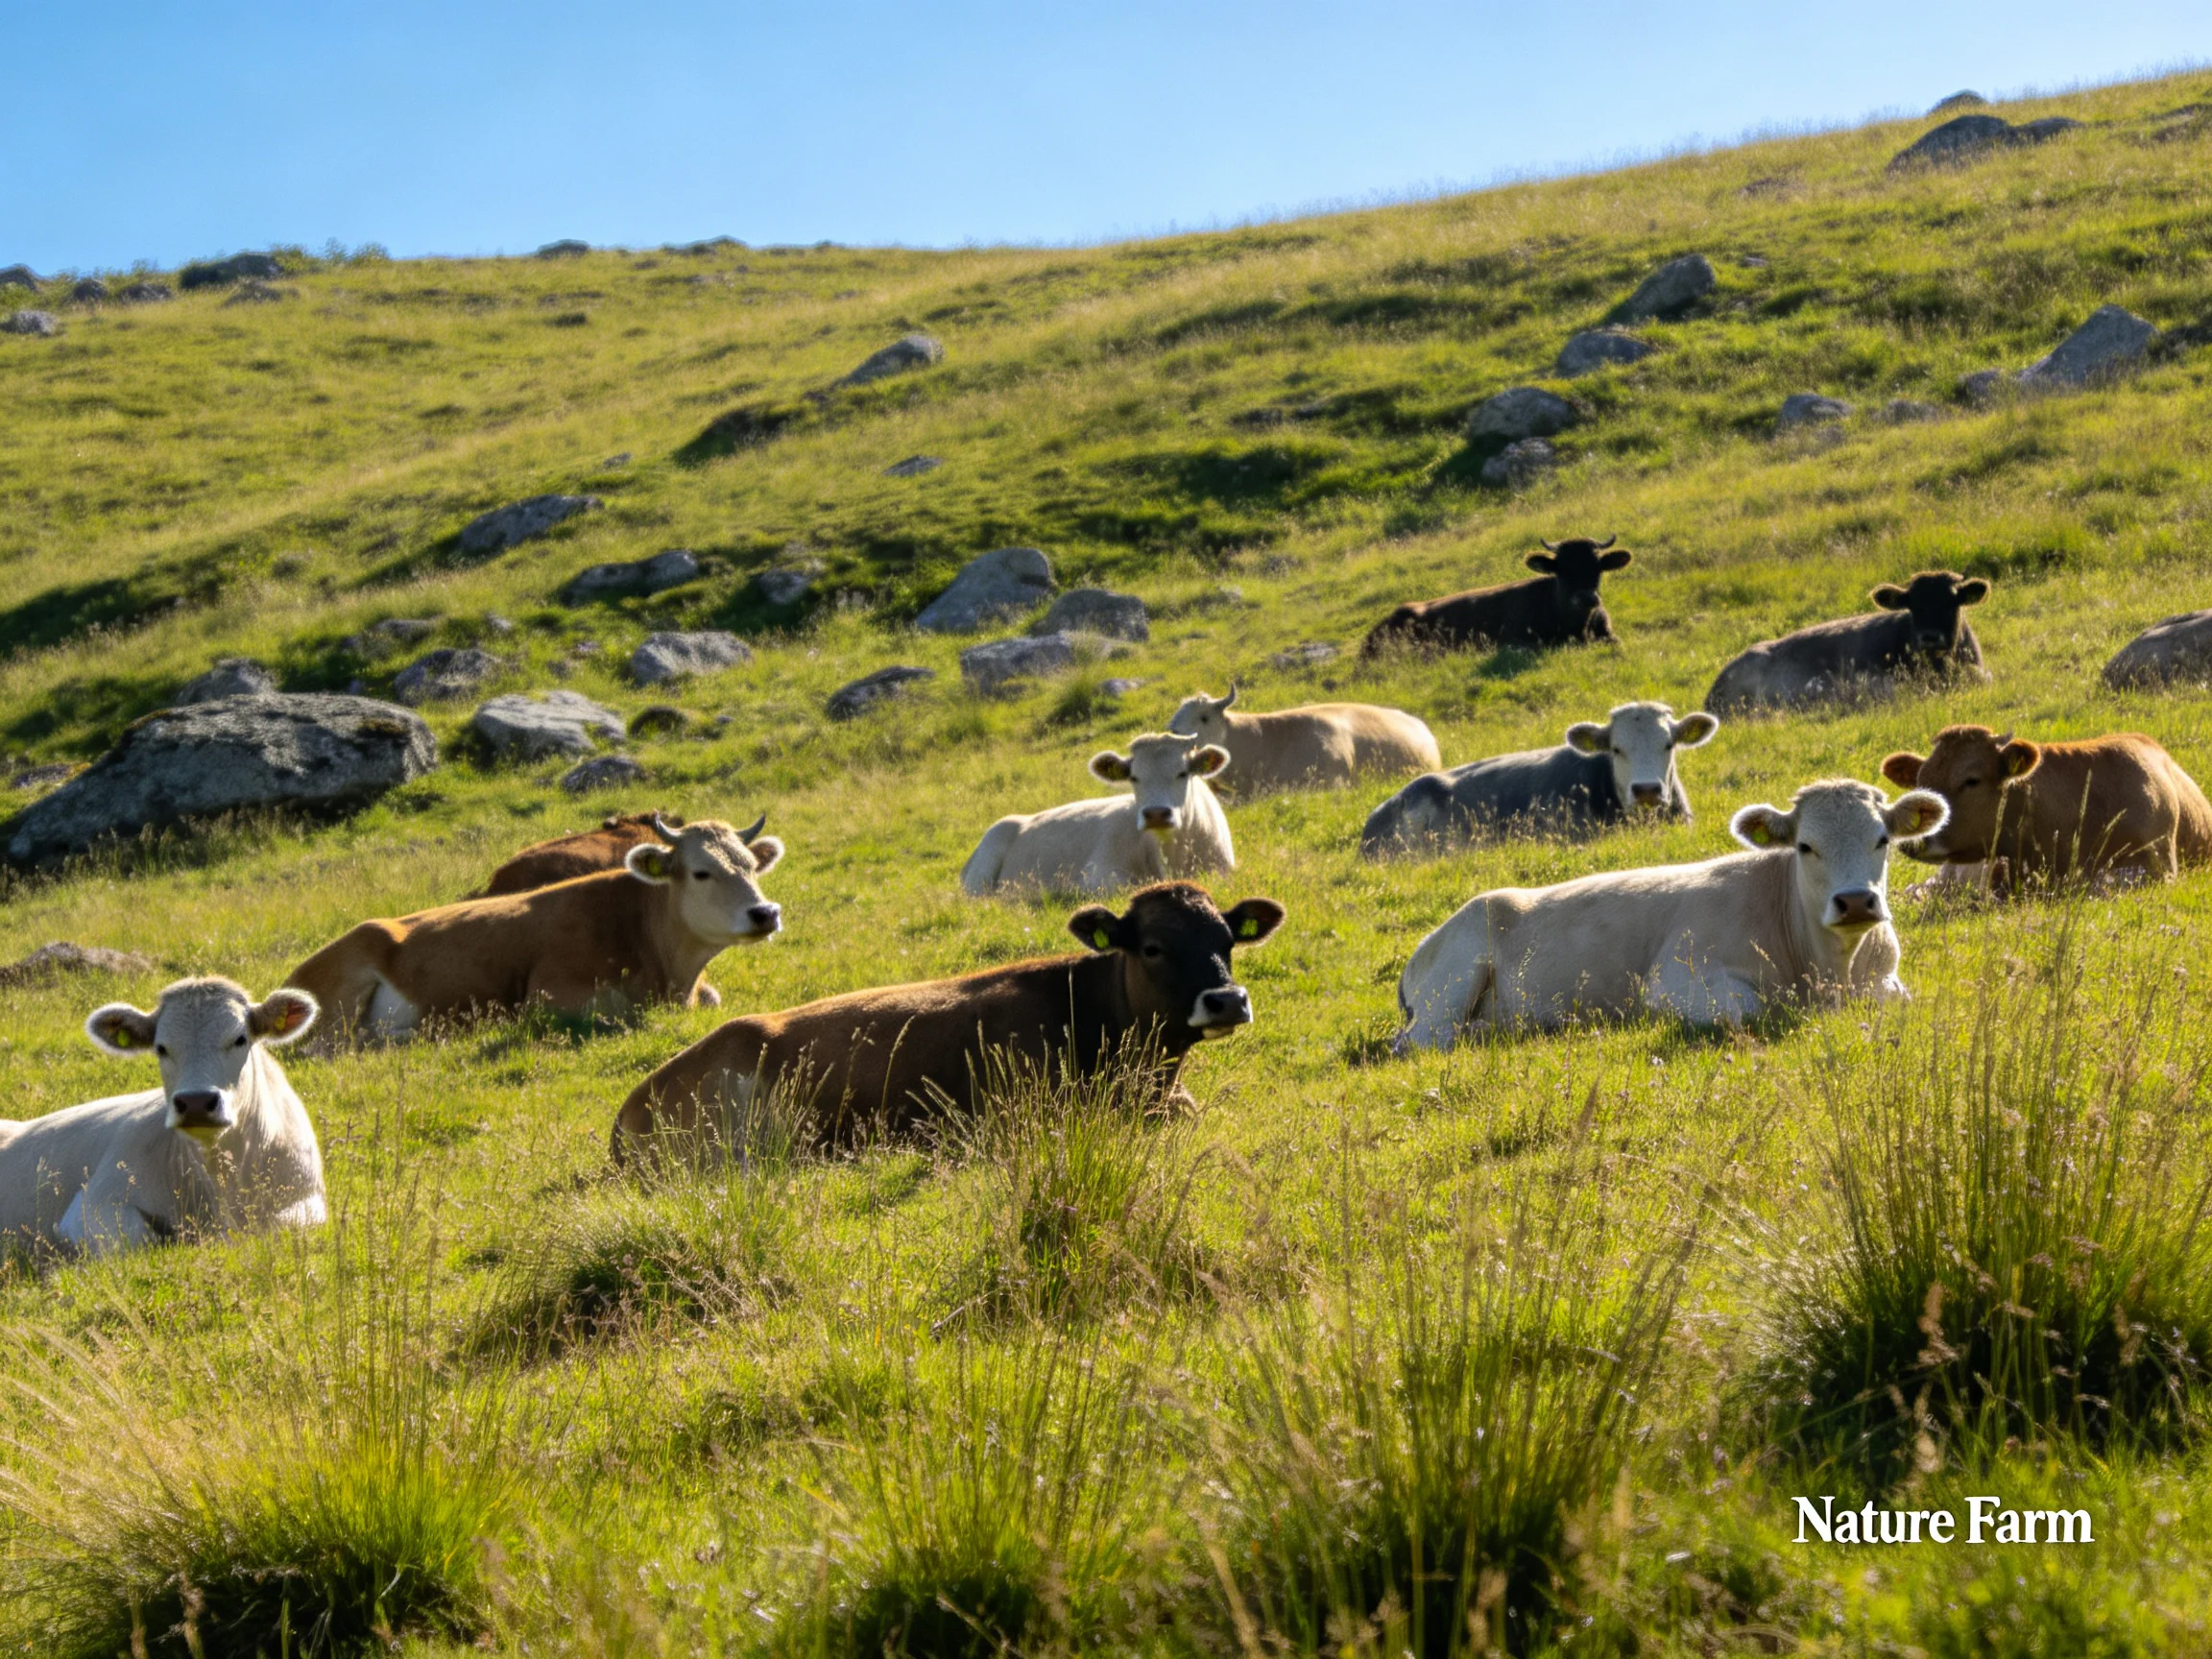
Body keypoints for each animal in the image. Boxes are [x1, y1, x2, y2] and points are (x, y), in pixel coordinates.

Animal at [0, 978, 324, 1255]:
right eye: (161, 1047)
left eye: (240, 1039)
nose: (196, 1101)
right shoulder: (92, 1202)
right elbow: (140, 1239)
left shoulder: (309, 1198)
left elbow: (281, 1225)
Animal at [1393, 778, 1948, 1052]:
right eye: (1806, 846)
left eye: (1883, 839)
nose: (1855, 901)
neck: (1830, 972)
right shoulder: (1675, 980)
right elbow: (1747, 1009)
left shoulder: (1886, 980)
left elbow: (1898, 1000)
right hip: (1451, 985)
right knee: (1421, 1042)